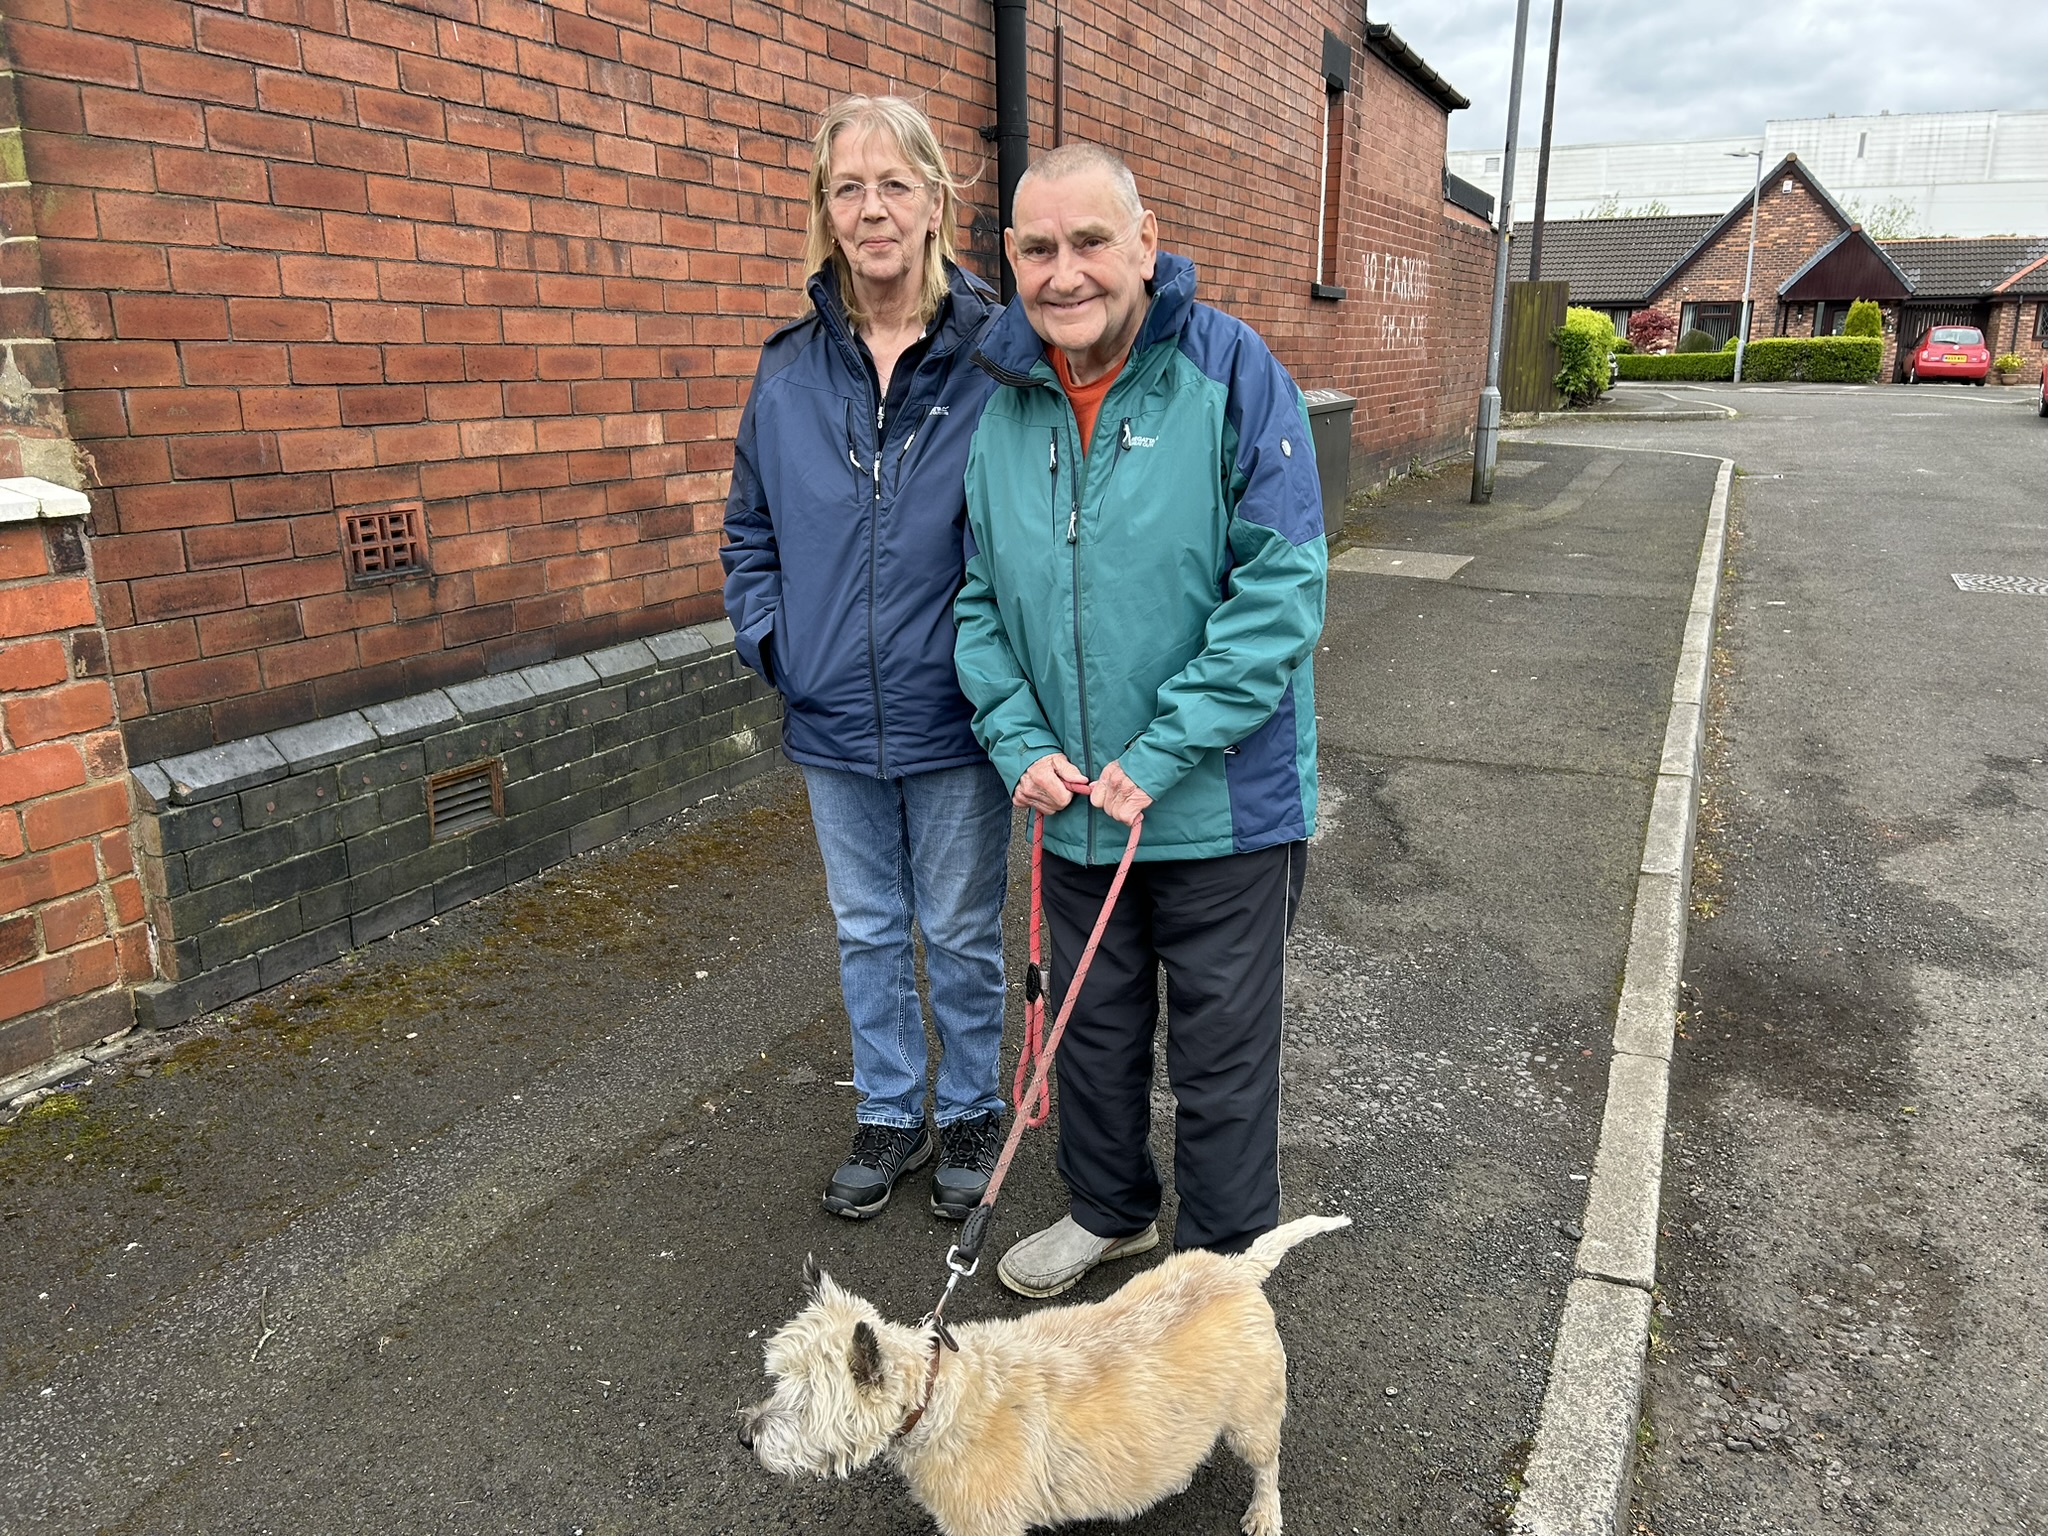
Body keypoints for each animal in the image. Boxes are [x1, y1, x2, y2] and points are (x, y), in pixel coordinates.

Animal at [737, 1212, 1343, 1536]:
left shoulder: (987, 1524)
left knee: (1267, 1465)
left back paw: (1264, 1512)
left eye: (806, 1401)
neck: (936, 1396)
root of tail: (1238, 1269)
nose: (745, 1437)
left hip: (1252, 1415)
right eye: (776, 1380)